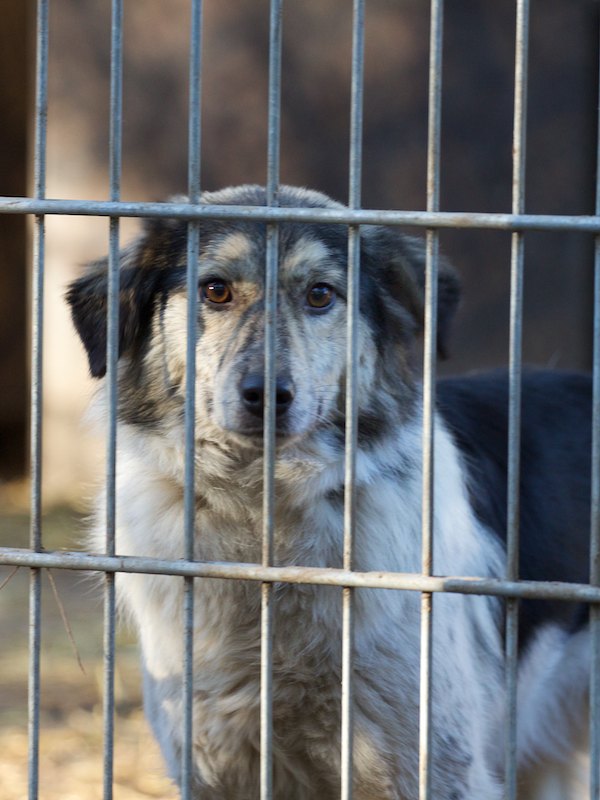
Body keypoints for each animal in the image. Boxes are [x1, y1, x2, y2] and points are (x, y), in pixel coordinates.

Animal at [67, 185, 591, 799]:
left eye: (320, 294)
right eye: (215, 289)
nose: (267, 395)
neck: (267, 531)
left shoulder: (433, 771)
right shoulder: (214, 766)